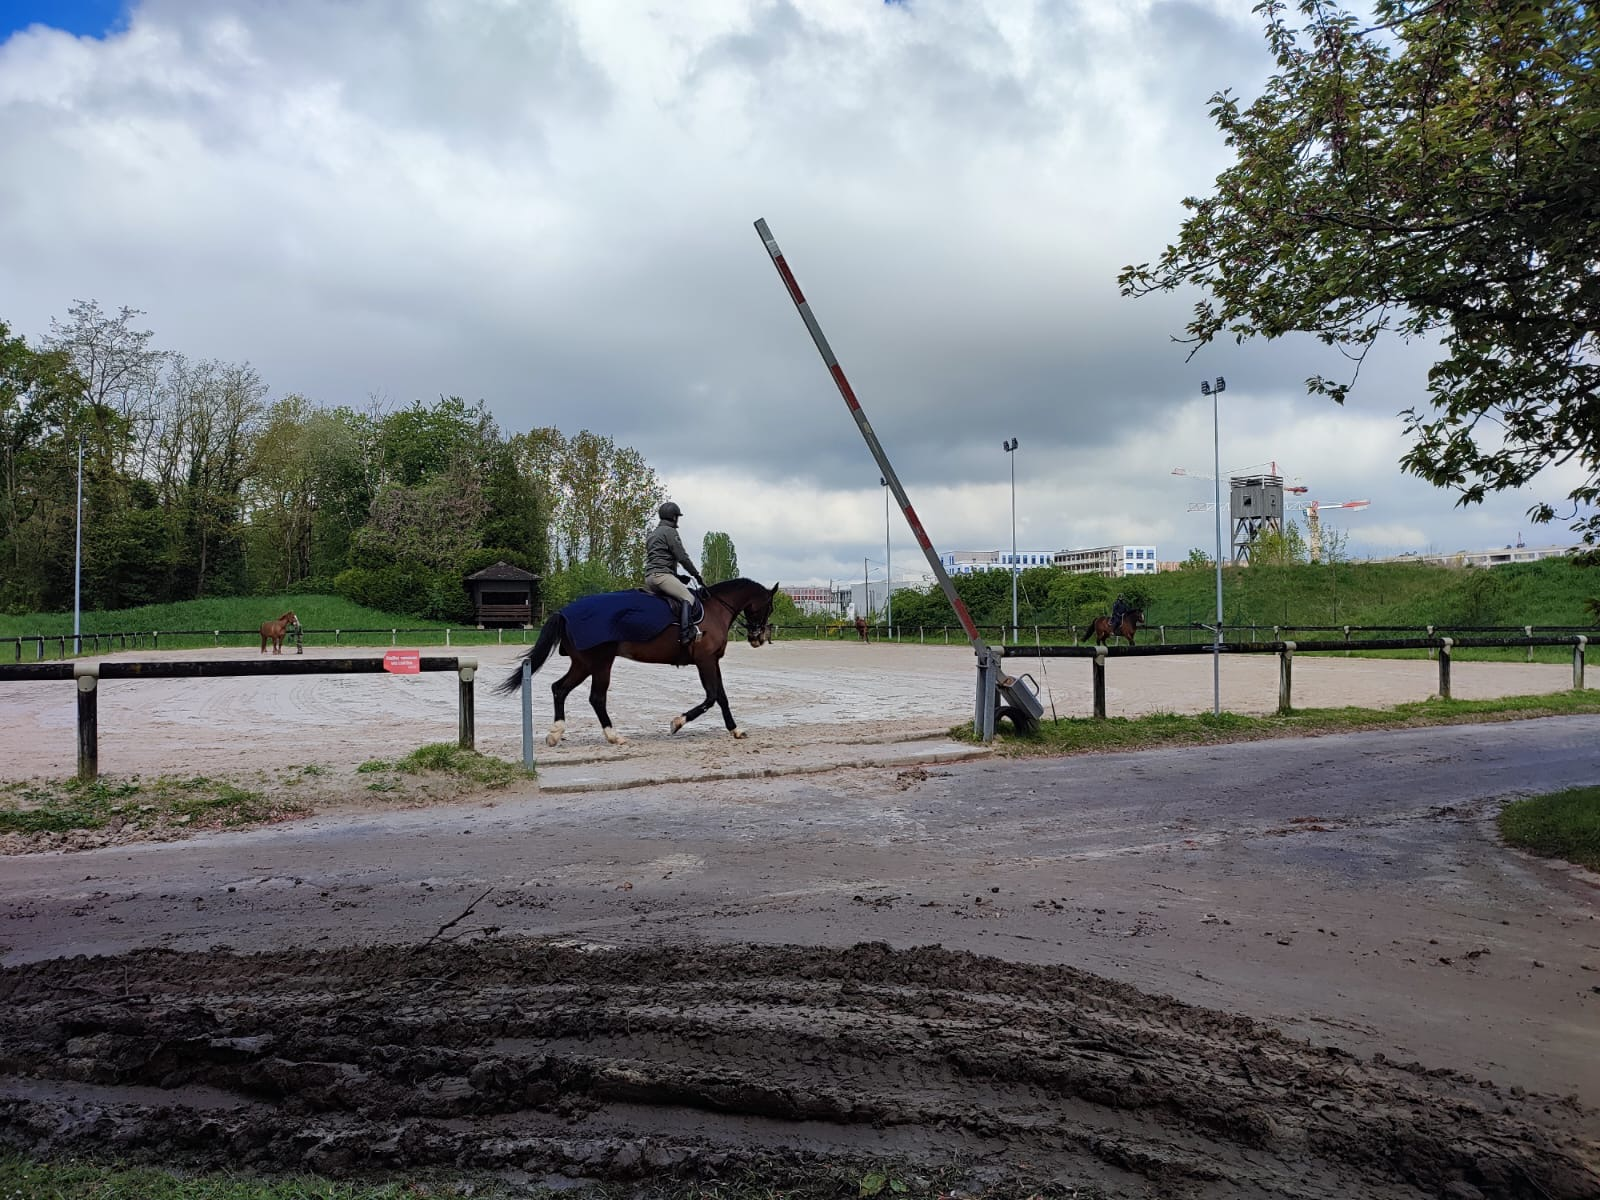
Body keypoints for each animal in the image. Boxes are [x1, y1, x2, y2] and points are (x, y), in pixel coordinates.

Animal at [492, 579, 780, 748]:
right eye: (770, 606)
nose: (758, 638)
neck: (714, 609)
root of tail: (565, 612)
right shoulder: (705, 660)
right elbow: (711, 697)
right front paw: (677, 722)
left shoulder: (712, 661)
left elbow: (721, 696)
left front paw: (736, 730)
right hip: (600, 663)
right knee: (596, 698)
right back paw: (613, 736)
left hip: (583, 664)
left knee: (559, 688)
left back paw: (556, 733)